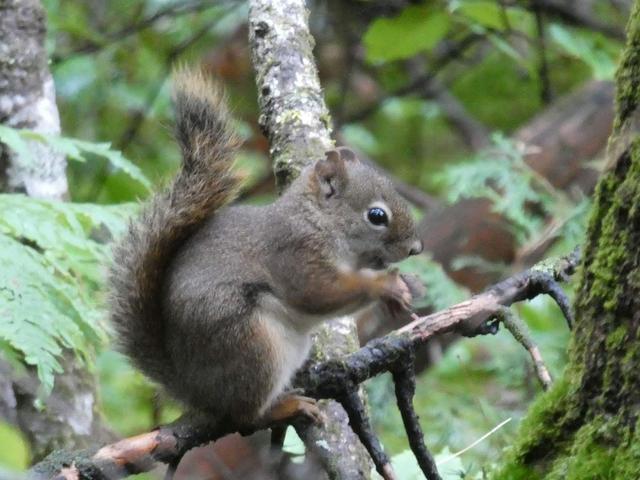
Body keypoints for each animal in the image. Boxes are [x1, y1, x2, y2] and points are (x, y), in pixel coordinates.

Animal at [107, 68, 422, 432]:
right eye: (376, 216)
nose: (416, 248)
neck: (317, 220)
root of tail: (194, 389)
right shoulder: (294, 253)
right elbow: (319, 293)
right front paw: (386, 285)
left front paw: (409, 285)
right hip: (250, 344)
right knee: (244, 416)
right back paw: (284, 407)